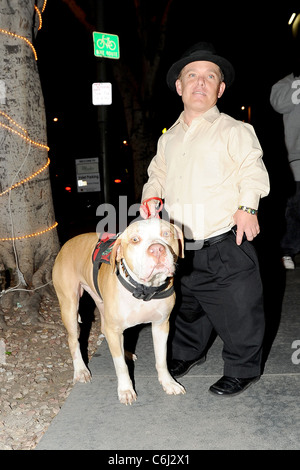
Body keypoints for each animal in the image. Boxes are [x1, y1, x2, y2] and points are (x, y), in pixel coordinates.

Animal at [52, 217, 186, 404]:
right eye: (135, 239)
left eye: (166, 233)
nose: (157, 249)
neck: (144, 290)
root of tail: (68, 243)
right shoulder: (114, 330)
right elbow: (120, 365)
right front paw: (126, 390)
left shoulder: (161, 325)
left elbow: (162, 359)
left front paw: (168, 383)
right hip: (69, 305)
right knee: (73, 340)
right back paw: (81, 370)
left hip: (101, 303)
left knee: (106, 331)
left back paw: (127, 353)